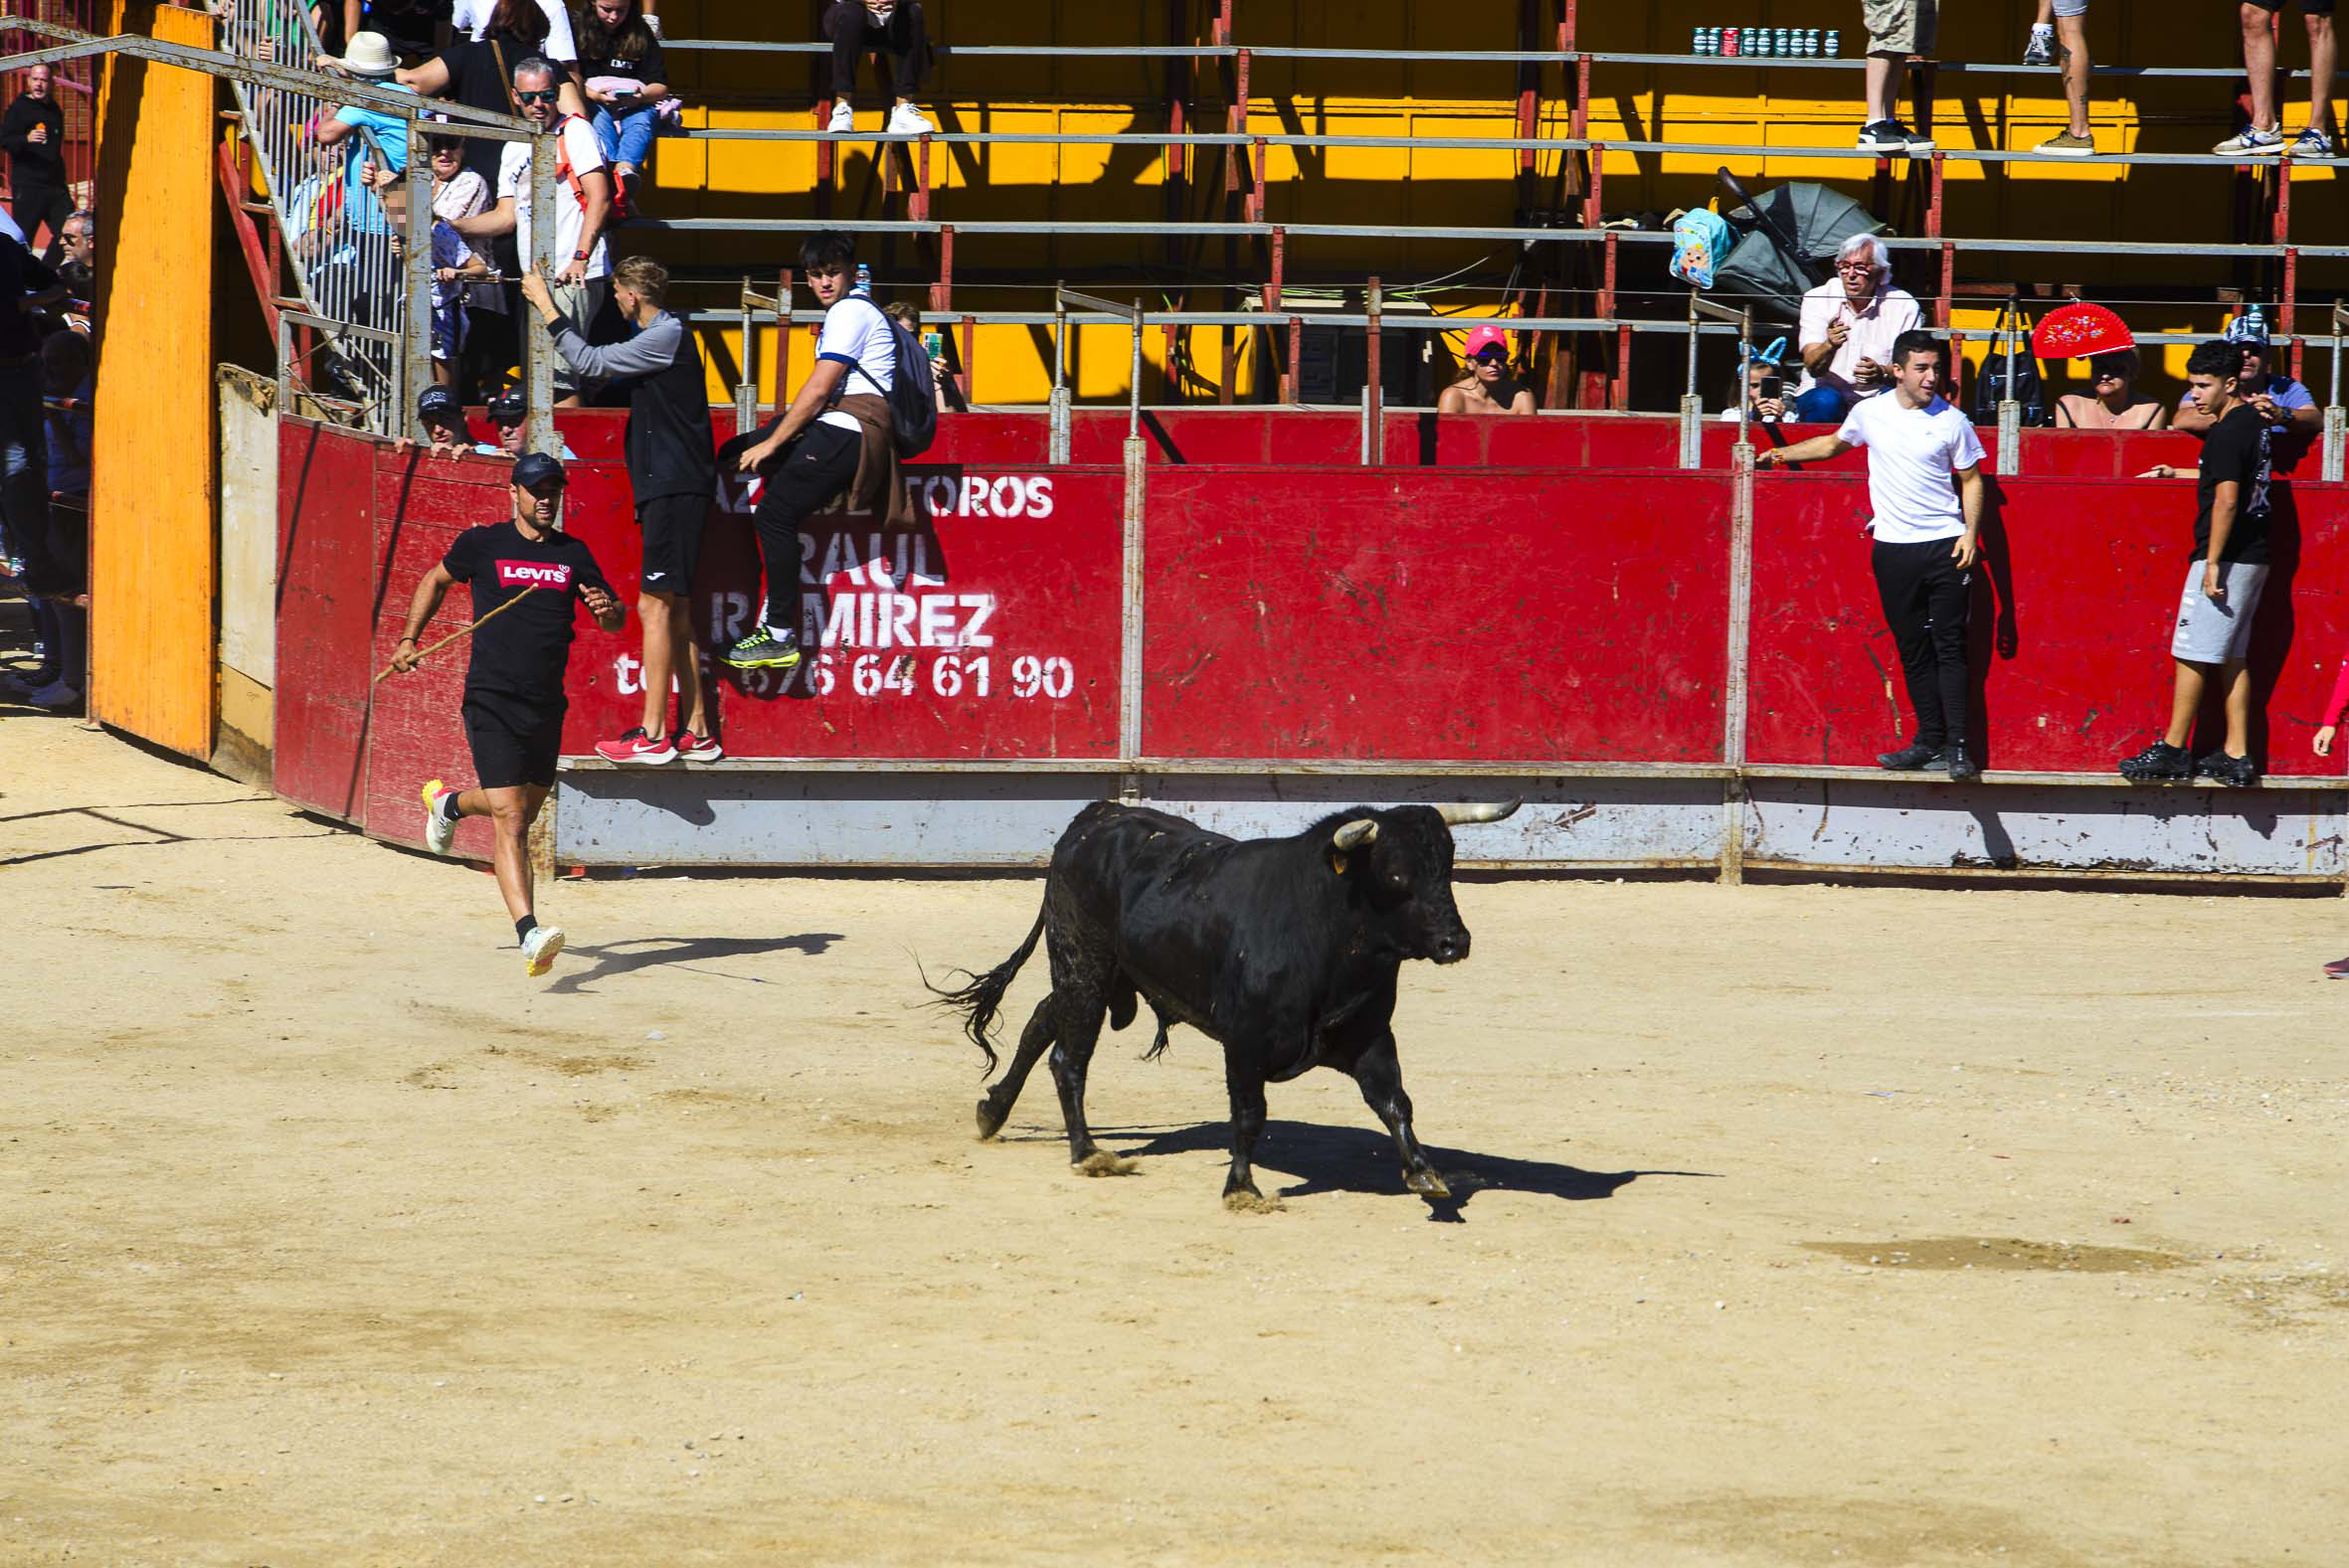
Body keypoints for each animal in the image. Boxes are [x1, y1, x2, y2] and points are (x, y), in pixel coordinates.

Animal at [925, 802, 1513, 1211]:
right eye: (1394, 873)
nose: (1455, 942)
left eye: (1447, 867)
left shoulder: (1370, 1036)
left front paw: (1425, 1172)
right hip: (1084, 965)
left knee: (1042, 1022)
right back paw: (1087, 1153)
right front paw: (1242, 1188)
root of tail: (1093, 817)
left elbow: (1395, 1102)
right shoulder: (1245, 1042)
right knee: (1068, 1059)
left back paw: (991, 1112)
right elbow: (1249, 1114)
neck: (1326, 930)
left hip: (1098, 975)